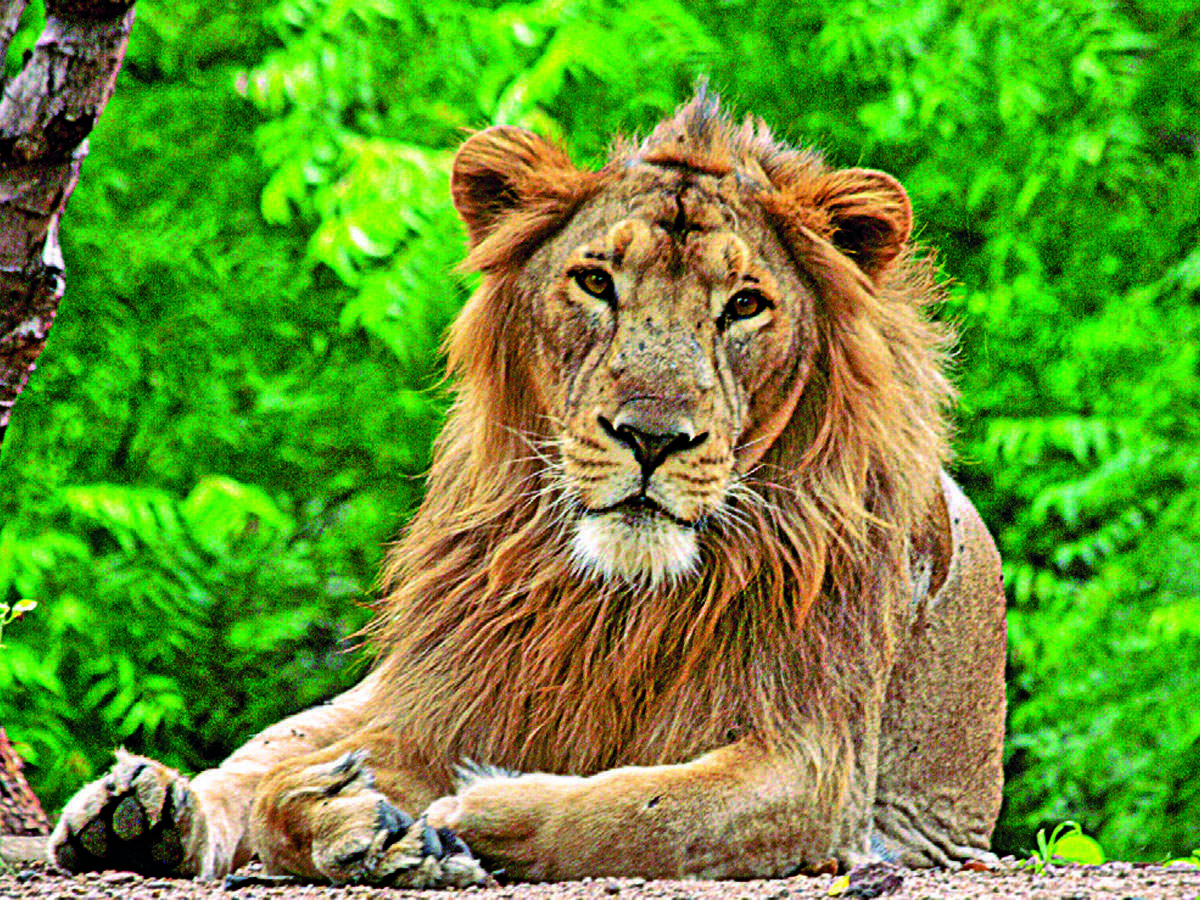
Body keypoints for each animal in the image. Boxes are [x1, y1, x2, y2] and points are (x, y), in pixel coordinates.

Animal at [46, 93, 1003, 888]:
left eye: (743, 305)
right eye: (596, 281)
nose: (652, 437)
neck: (622, 599)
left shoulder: (817, 768)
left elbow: (642, 811)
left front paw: (466, 814)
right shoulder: (442, 698)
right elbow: (290, 786)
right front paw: (363, 824)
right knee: (251, 765)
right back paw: (139, 814)